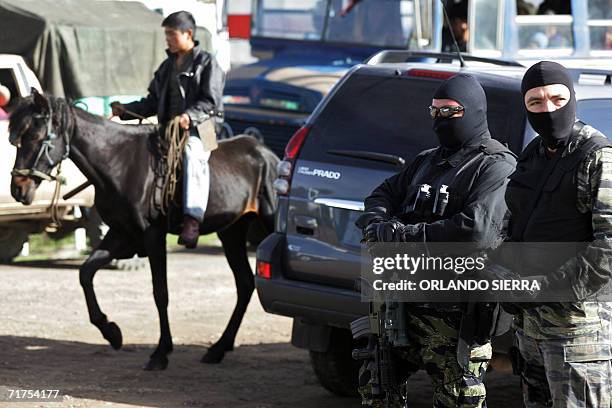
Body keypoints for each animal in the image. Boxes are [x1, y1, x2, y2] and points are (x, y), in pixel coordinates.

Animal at [8, 91, 280, 372]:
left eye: (36, 137)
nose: (18, 188)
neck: (119, 163)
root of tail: (268, 156)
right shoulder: (120, 234)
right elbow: (86, 273)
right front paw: (111, 332)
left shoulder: (152, 236)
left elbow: (160, 292)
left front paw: (160, 352)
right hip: (232, 232)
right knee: (245, 284)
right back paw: (218, 348)